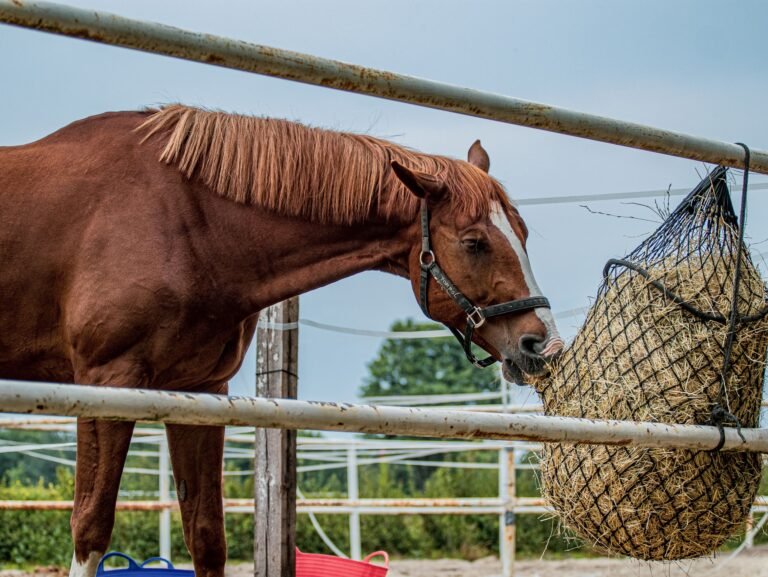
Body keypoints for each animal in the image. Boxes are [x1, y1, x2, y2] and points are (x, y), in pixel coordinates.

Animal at [0, 105, 563, 577]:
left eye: (523, 234)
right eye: (474, 242)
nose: (542, 346)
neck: (181, 220)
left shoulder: (199, 393)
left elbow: (206, 536)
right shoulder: (106, 382)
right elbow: (90, 527)